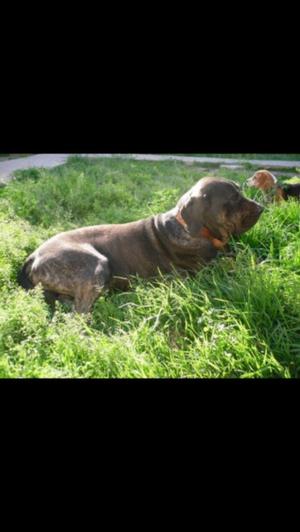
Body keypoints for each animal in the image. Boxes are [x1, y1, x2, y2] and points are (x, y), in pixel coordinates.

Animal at [18, 177, 262, 314]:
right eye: (233, 199)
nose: (261, 207)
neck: (193, 229)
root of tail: (32, 256)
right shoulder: (208, 271)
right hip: (96, 266)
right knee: (79, 314)